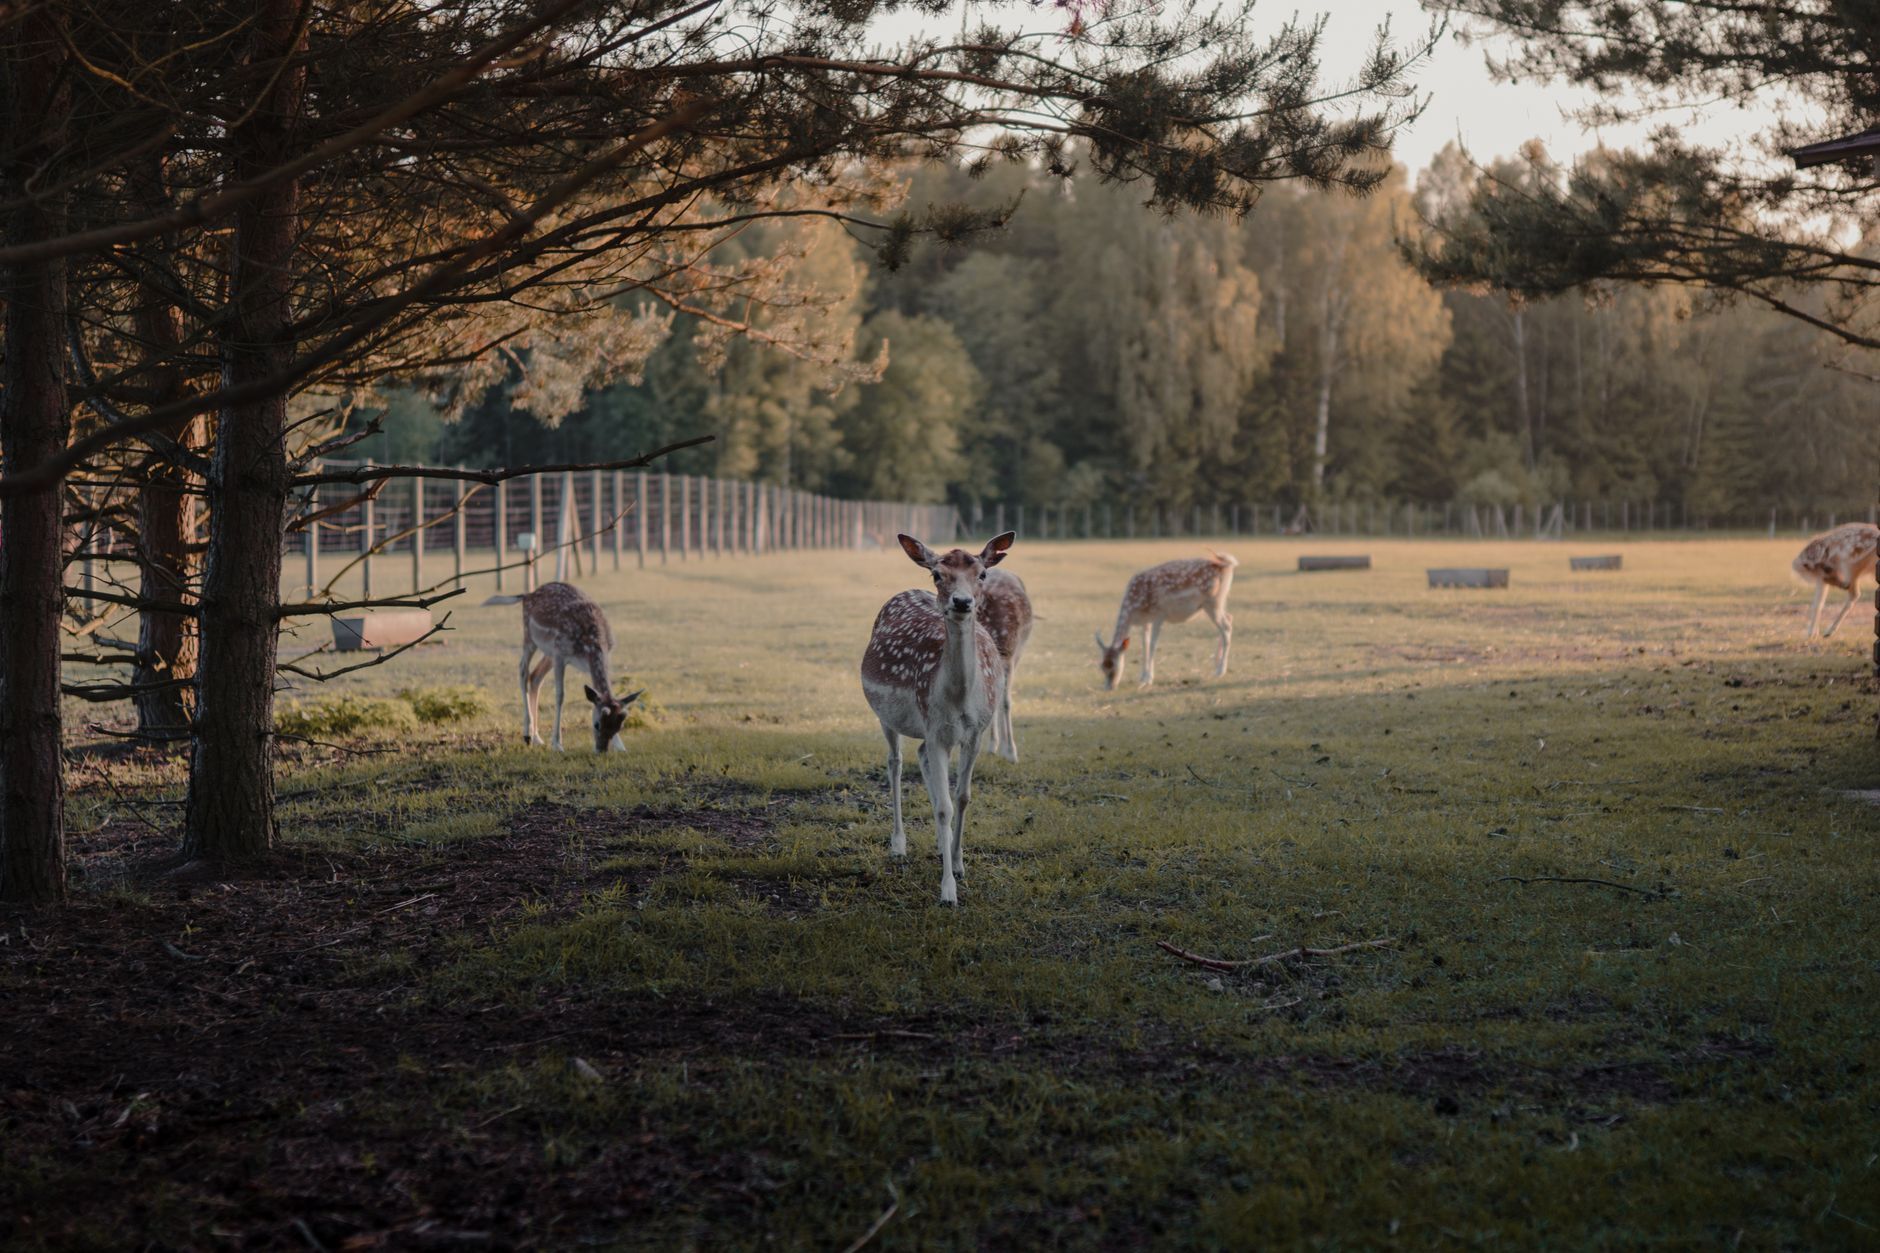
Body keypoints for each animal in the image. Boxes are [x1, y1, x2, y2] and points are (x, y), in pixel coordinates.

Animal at [482, 582, 642, 751]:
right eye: (596, 724)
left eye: (619, 727)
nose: (601, 750)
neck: (590, 646)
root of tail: (527, 595)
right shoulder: (561, 655)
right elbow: (560, 695)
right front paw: (557, 744)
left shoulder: (602, 654)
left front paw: (621, 747)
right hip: (530, 637)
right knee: (523, 670)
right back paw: (527, 735)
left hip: (549, 651)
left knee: (535, 676)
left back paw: (537, 738)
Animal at [861, 531, 1015, 905]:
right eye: (937, 574)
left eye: (982, 574)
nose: (961, 601)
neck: (959, 699)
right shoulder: (935, 730)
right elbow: (945, 806)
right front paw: (948, 891)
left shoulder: (974, 732)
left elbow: (962, 797)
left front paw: (958, 863)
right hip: (887, 715)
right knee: (895, 761)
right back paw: (898, 844)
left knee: (918, 756)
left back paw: (938, 845)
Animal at [1094, 550, 1237, 689]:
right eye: (1102, 666)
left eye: (1114, 665)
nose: (1108, 687)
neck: (1134, 608)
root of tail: (1228, 565)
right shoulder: (1146, 621)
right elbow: (1145, 644)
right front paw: (1142, 677)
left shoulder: (1159, 615)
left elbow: (1152, 644)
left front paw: (1148, 679)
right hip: (1220, 601)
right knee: (1229, 617)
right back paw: (1216, 665)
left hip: (1212, 602)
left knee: (1226, 627)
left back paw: (1220, 671)